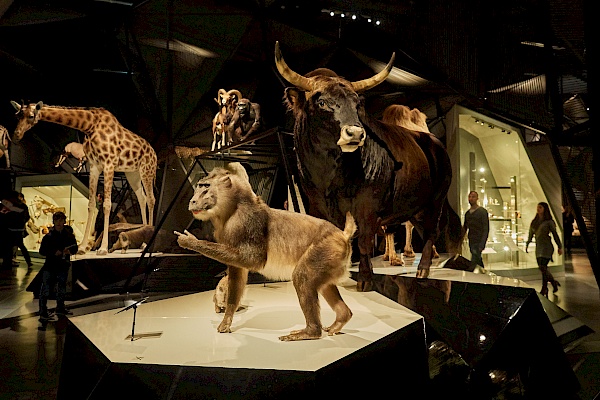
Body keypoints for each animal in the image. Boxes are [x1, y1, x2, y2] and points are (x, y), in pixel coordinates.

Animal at [11, 101, 157, 255]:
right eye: (17, 116)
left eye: (31, 116)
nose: (16, 135)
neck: (90, 126)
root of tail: (154, 154)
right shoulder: (94, 167)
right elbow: (91, 204)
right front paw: (82, 247)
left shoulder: (109, 164)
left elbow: (107, 205)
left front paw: (103, 249)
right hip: (133, 173)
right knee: (142, 198)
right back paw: (143, 234)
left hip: (147, 170)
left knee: (151, 198)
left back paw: (147, 241)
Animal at [177, 162, 356, 340]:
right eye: (199, 186)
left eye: (205, 187)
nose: (193, 200)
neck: (232, 207)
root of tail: (342, 235)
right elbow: (237, 274)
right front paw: (226, 321)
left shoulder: (248, 222)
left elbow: (253, 260)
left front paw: (190, 241)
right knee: (325, 286)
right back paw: (341, 318)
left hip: (325, 250)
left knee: (302, 277)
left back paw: (310, 332)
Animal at [274, 41, 462, 290]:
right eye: (321, 102)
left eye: (357, 104)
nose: (355, 133)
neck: (328, 175)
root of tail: (433, 141)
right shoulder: (316, 205)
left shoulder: (367, 207)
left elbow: (363, 242)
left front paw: (365, 278)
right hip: (415, 206)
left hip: (436, 201)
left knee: (432, 231)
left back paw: (423, 270)